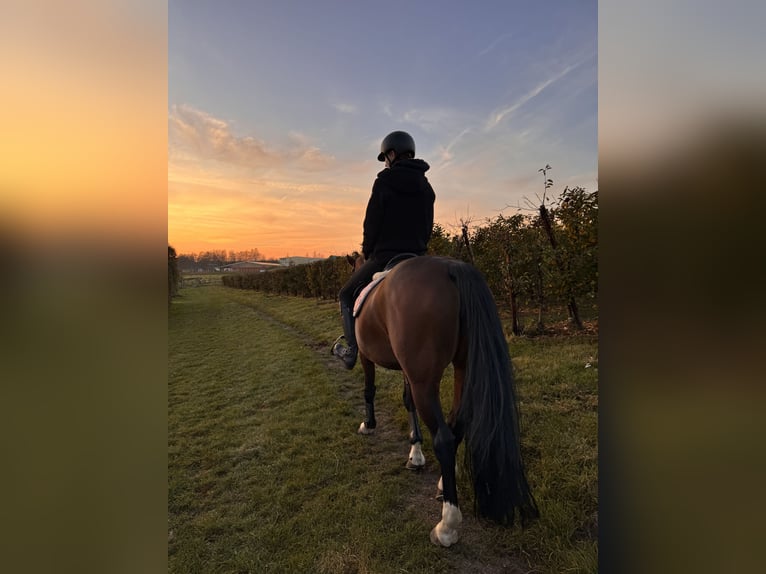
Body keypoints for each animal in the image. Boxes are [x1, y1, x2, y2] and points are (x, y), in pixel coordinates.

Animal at [348, 254, 540, 548]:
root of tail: (450, 267)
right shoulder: (407, 370)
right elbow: (408, 402)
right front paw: (415, 454)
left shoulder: (367, 356)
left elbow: (369, 389)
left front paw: (368, 425)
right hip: (461, 368)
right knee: (456, 424)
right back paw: (442, 484)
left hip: (425, 379)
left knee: (444, 438)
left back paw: (447, 525)